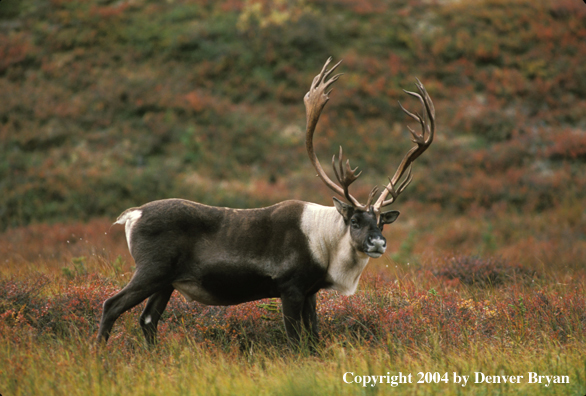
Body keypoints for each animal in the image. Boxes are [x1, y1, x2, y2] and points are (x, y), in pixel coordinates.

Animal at [97, 58, 434, 346]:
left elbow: (314, 338)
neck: (325, 244)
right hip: (150, 270)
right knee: (111, 305)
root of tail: (132, 215)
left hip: (166, 282)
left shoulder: (310, 292)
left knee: (147, 320)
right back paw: (99, 355)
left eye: (381, 222)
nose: (377, 243)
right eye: (354, 220)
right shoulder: (289, 287)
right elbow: (296, 341)